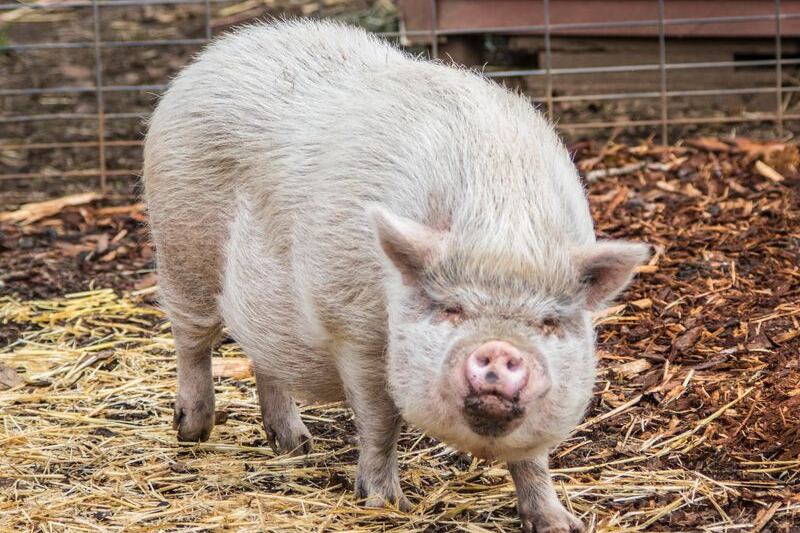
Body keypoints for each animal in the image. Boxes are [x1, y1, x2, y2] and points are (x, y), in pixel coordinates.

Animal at [143, 19, 649, 532]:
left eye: (548, 322)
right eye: (451, 308)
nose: (499, 349)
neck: (502, 228)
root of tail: (221, 50)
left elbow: (532, 457)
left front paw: (561, 523)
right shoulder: (355, 329)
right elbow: (380, 420)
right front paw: (385, 504)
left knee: (263, 352)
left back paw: (295, 446)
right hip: (182, 243)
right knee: (192, 338)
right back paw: (192, 430)